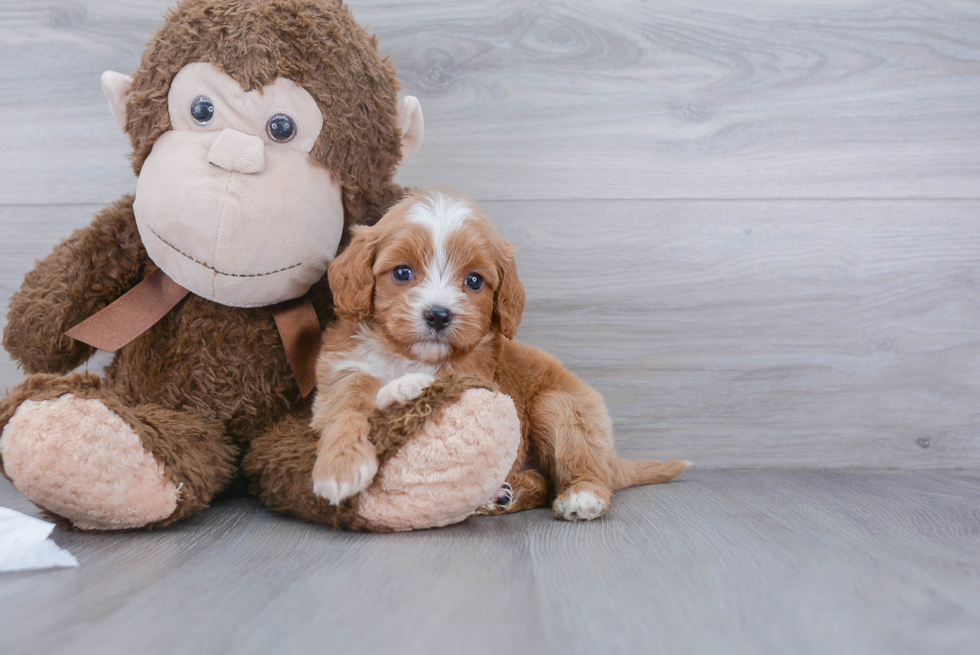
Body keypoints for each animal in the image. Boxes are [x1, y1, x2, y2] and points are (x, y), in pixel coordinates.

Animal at [308, 191, 688, 524]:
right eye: (402, 272)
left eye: (474, 281)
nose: (438, 315)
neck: (408, 355)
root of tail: (612, 457)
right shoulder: (344, 374)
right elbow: (344, 411)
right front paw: (340, 465)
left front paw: (406, 389)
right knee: (543, 481)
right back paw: (504, 495)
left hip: (563, 408)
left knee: (585, 470)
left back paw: (580, 496)